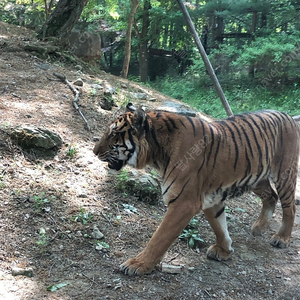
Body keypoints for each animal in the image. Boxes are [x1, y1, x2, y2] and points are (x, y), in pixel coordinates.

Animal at [94, 103, 300, 276]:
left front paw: (138, 264)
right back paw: (259, 227)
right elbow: (219, 226)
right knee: (271, 197)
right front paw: (224, 249)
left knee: (290, 207)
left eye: (113, 134)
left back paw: (282, 238)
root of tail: (286, 115)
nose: (95, 151)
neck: (157, 154)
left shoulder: (184, 203)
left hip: (284, 175)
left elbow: (159, 238)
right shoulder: (211, 198)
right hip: (257, 179)